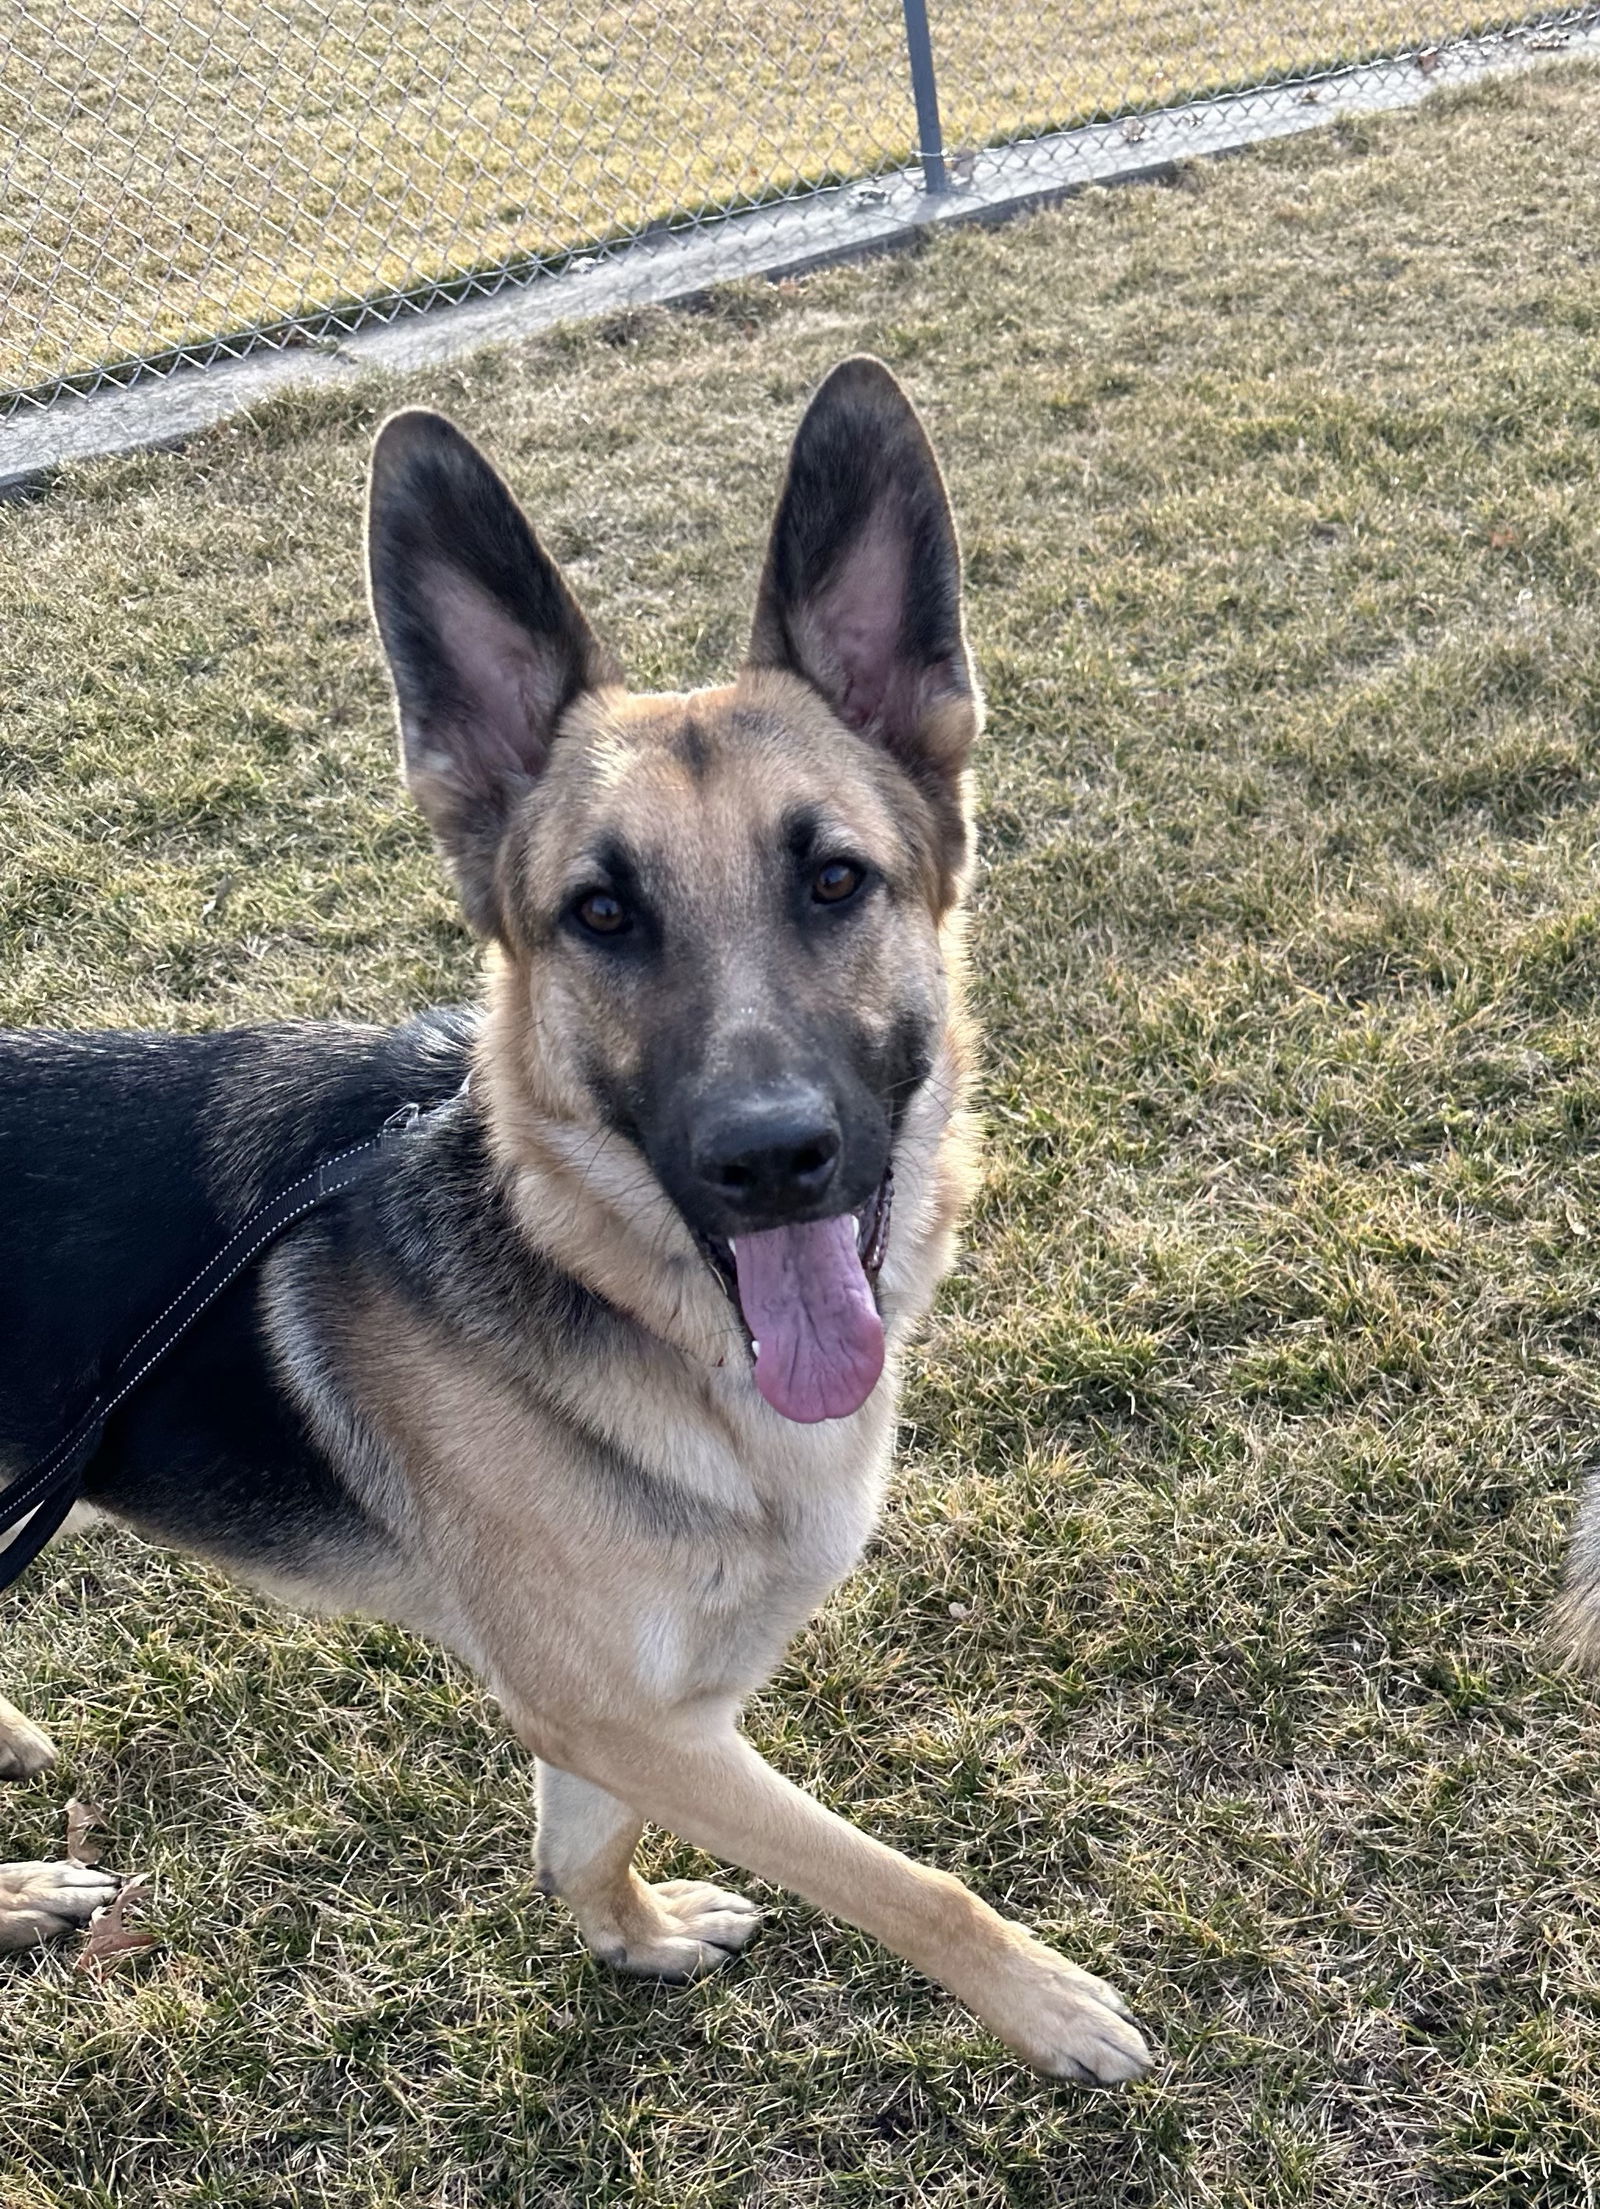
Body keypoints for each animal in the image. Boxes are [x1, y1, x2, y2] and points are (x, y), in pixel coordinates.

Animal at [3, 353, 1149, 2076]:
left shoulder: (646, 1707)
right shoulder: (612, 1702)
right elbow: (902, 1879)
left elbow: (578, 1844)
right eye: (601, 915)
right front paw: (1050, 2004)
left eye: (834, 880)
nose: (770, 1159)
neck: (620, 1298)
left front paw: (634, 1936)